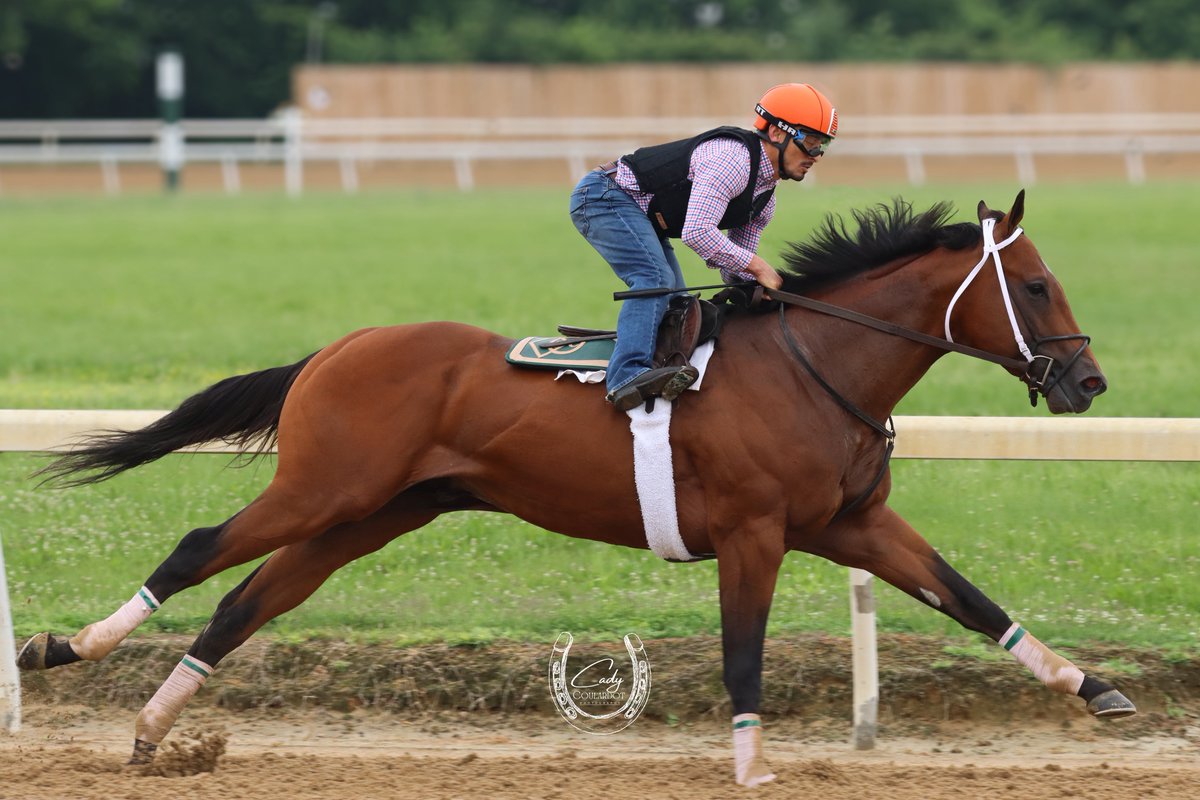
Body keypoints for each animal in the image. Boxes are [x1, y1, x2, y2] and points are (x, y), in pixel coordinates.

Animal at [18, 191, 1134, 787]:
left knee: (250, 600)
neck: (816, 364)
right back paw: (61, 650)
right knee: (200, 549)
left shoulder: (852, 524)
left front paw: (1097, 689)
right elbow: (741, 652)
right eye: (1035, 285)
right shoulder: (756, 531)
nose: (1087, 383)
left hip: (371, 514)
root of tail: (338, 347)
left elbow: (971, 598)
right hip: (326, 488)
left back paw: (153, 729)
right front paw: (750, 766)